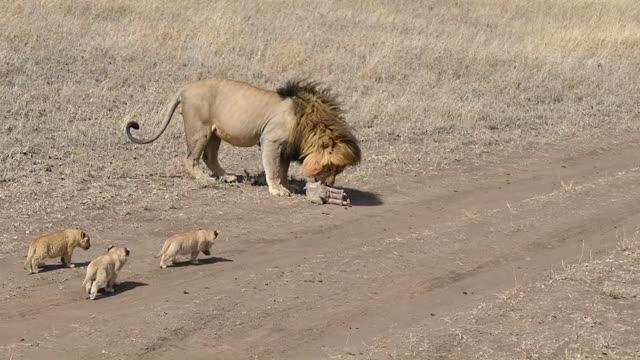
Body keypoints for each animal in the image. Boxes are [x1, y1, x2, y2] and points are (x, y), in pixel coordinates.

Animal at [125, 79, 360, 197]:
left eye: (338, 170)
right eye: (330, 167)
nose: (329, 184)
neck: (309, 123)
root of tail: (185, 87)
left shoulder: (286, 147)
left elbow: (282, 169)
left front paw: (288, 186)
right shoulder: (271, 141)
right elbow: (273, 169)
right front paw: (277, 190)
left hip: (214, 133)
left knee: (209, 157)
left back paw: (226, 176)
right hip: (200, 130)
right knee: (191, 159)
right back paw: (206, 179)